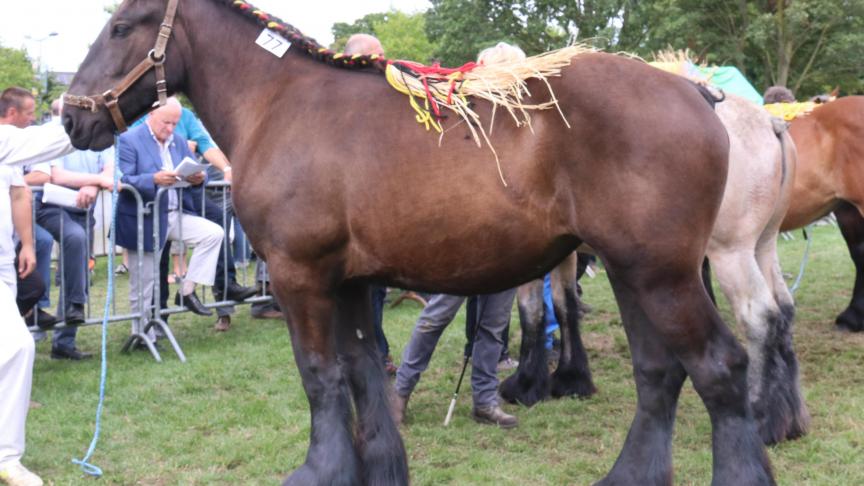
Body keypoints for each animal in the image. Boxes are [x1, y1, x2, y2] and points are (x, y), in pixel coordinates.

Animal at [61, 0, 774, 484]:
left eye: (122, 27)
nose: (70, 116)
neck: (280, 104)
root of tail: (698, 93)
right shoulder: (348, 283)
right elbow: (362, 374)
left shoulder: (298, 276)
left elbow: (320, 377)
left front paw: (320, 471)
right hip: (635, 273)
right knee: (659, 375)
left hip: (661, 275)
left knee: (719, 367)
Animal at [504, 93, 808, 445]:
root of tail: (769, 122)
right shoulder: (562, 255)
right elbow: (565, 306)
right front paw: (571, 378)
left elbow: (531, 310)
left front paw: (526, 384)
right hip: (764, 244)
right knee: (784, 309)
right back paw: (790, 418)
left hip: (731, 253)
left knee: (760, 317)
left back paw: (761, 418)